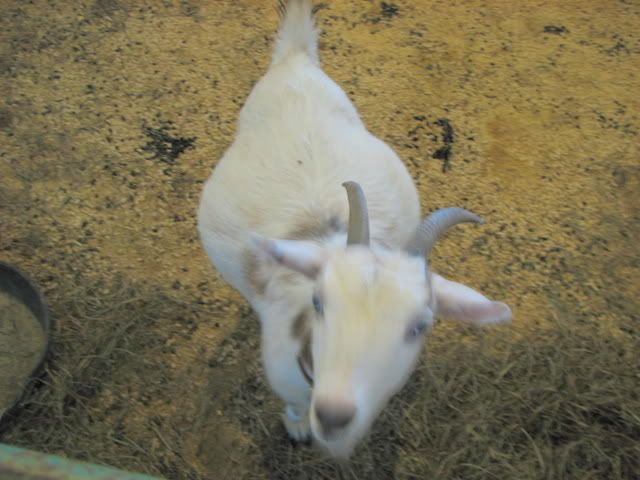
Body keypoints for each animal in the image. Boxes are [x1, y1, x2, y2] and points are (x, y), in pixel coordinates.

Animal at [197, 0, 512, 459]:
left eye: (419, 326)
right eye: (319, 302)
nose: (333, 415)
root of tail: (295, 60)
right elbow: (293, 404)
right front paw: (297, 427)